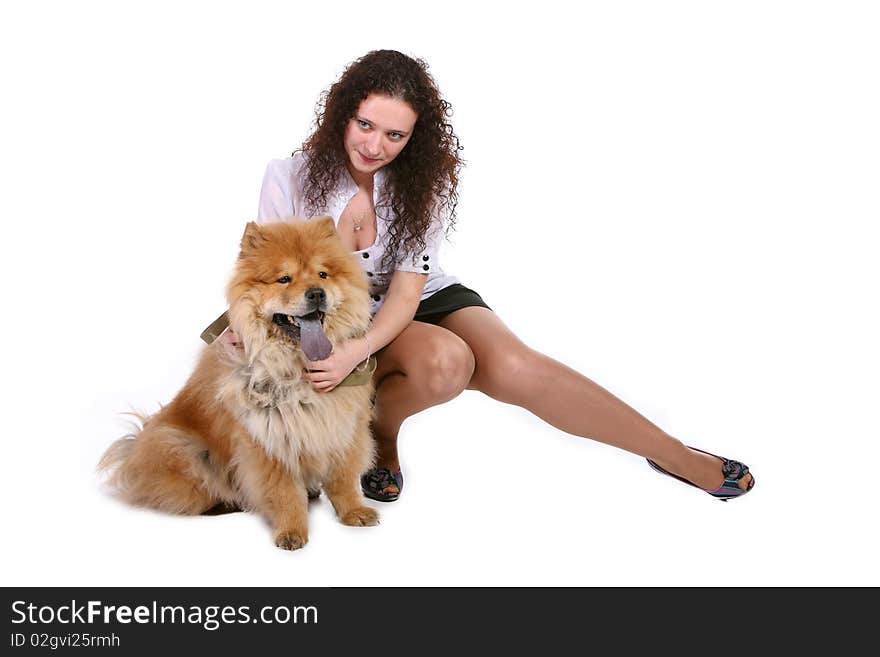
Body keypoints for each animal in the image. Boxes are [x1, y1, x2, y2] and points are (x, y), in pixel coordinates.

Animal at [97, 219, 378, 548]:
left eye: (323, 274)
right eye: (284, 279)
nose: (317, 293)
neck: (295, 368)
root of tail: (134, 449)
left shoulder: (344, 426)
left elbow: (343, 479)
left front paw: (355, 512)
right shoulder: (268, 440)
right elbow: (285, 493)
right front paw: (292, 532)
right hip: (181, 451)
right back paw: (231, 501)